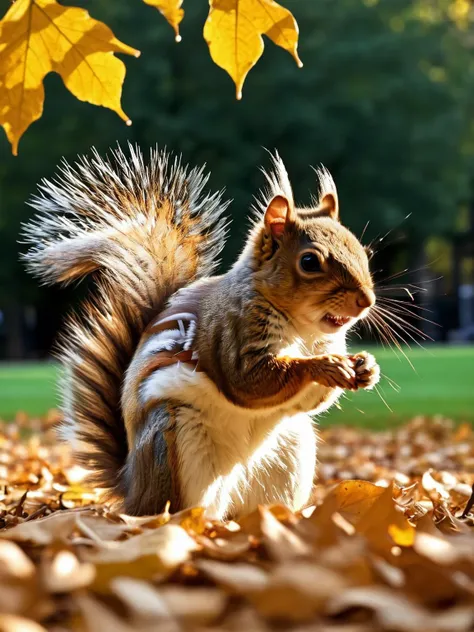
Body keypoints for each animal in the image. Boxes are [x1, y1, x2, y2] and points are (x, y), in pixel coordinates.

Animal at [23, 146, 382, 520]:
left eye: (362, 250)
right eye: (309, 262)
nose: (366, 301)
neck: (304, 329)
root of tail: (131, 487)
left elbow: (313, 400)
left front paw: (366, 366)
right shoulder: (232, 334)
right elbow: (251, 381)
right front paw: (324, 365)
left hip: (289, 452)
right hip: (176, 445)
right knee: (180, 507)